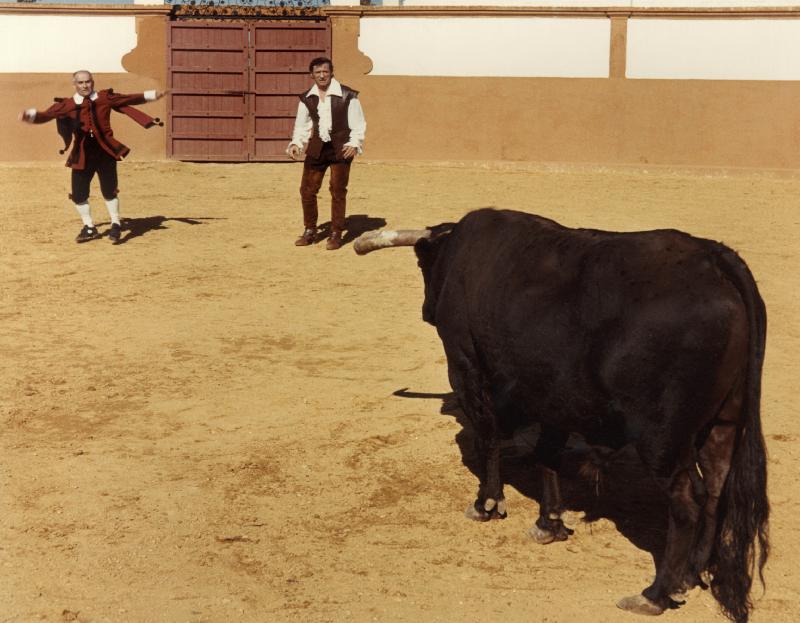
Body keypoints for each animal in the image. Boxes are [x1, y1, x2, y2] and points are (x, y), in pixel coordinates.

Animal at [356, 210, 768, 623]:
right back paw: (692, 573)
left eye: (423, 263)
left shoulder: (466, 368)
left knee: (686, 503)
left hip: (662, 440)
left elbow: (488, 437)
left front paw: (486, 503)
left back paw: (656, 592)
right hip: (723, 425)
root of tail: (715, 260)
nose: (426, 310)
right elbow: (547, 455)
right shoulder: (553, 395)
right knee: (715, 488)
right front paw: (549, 522)